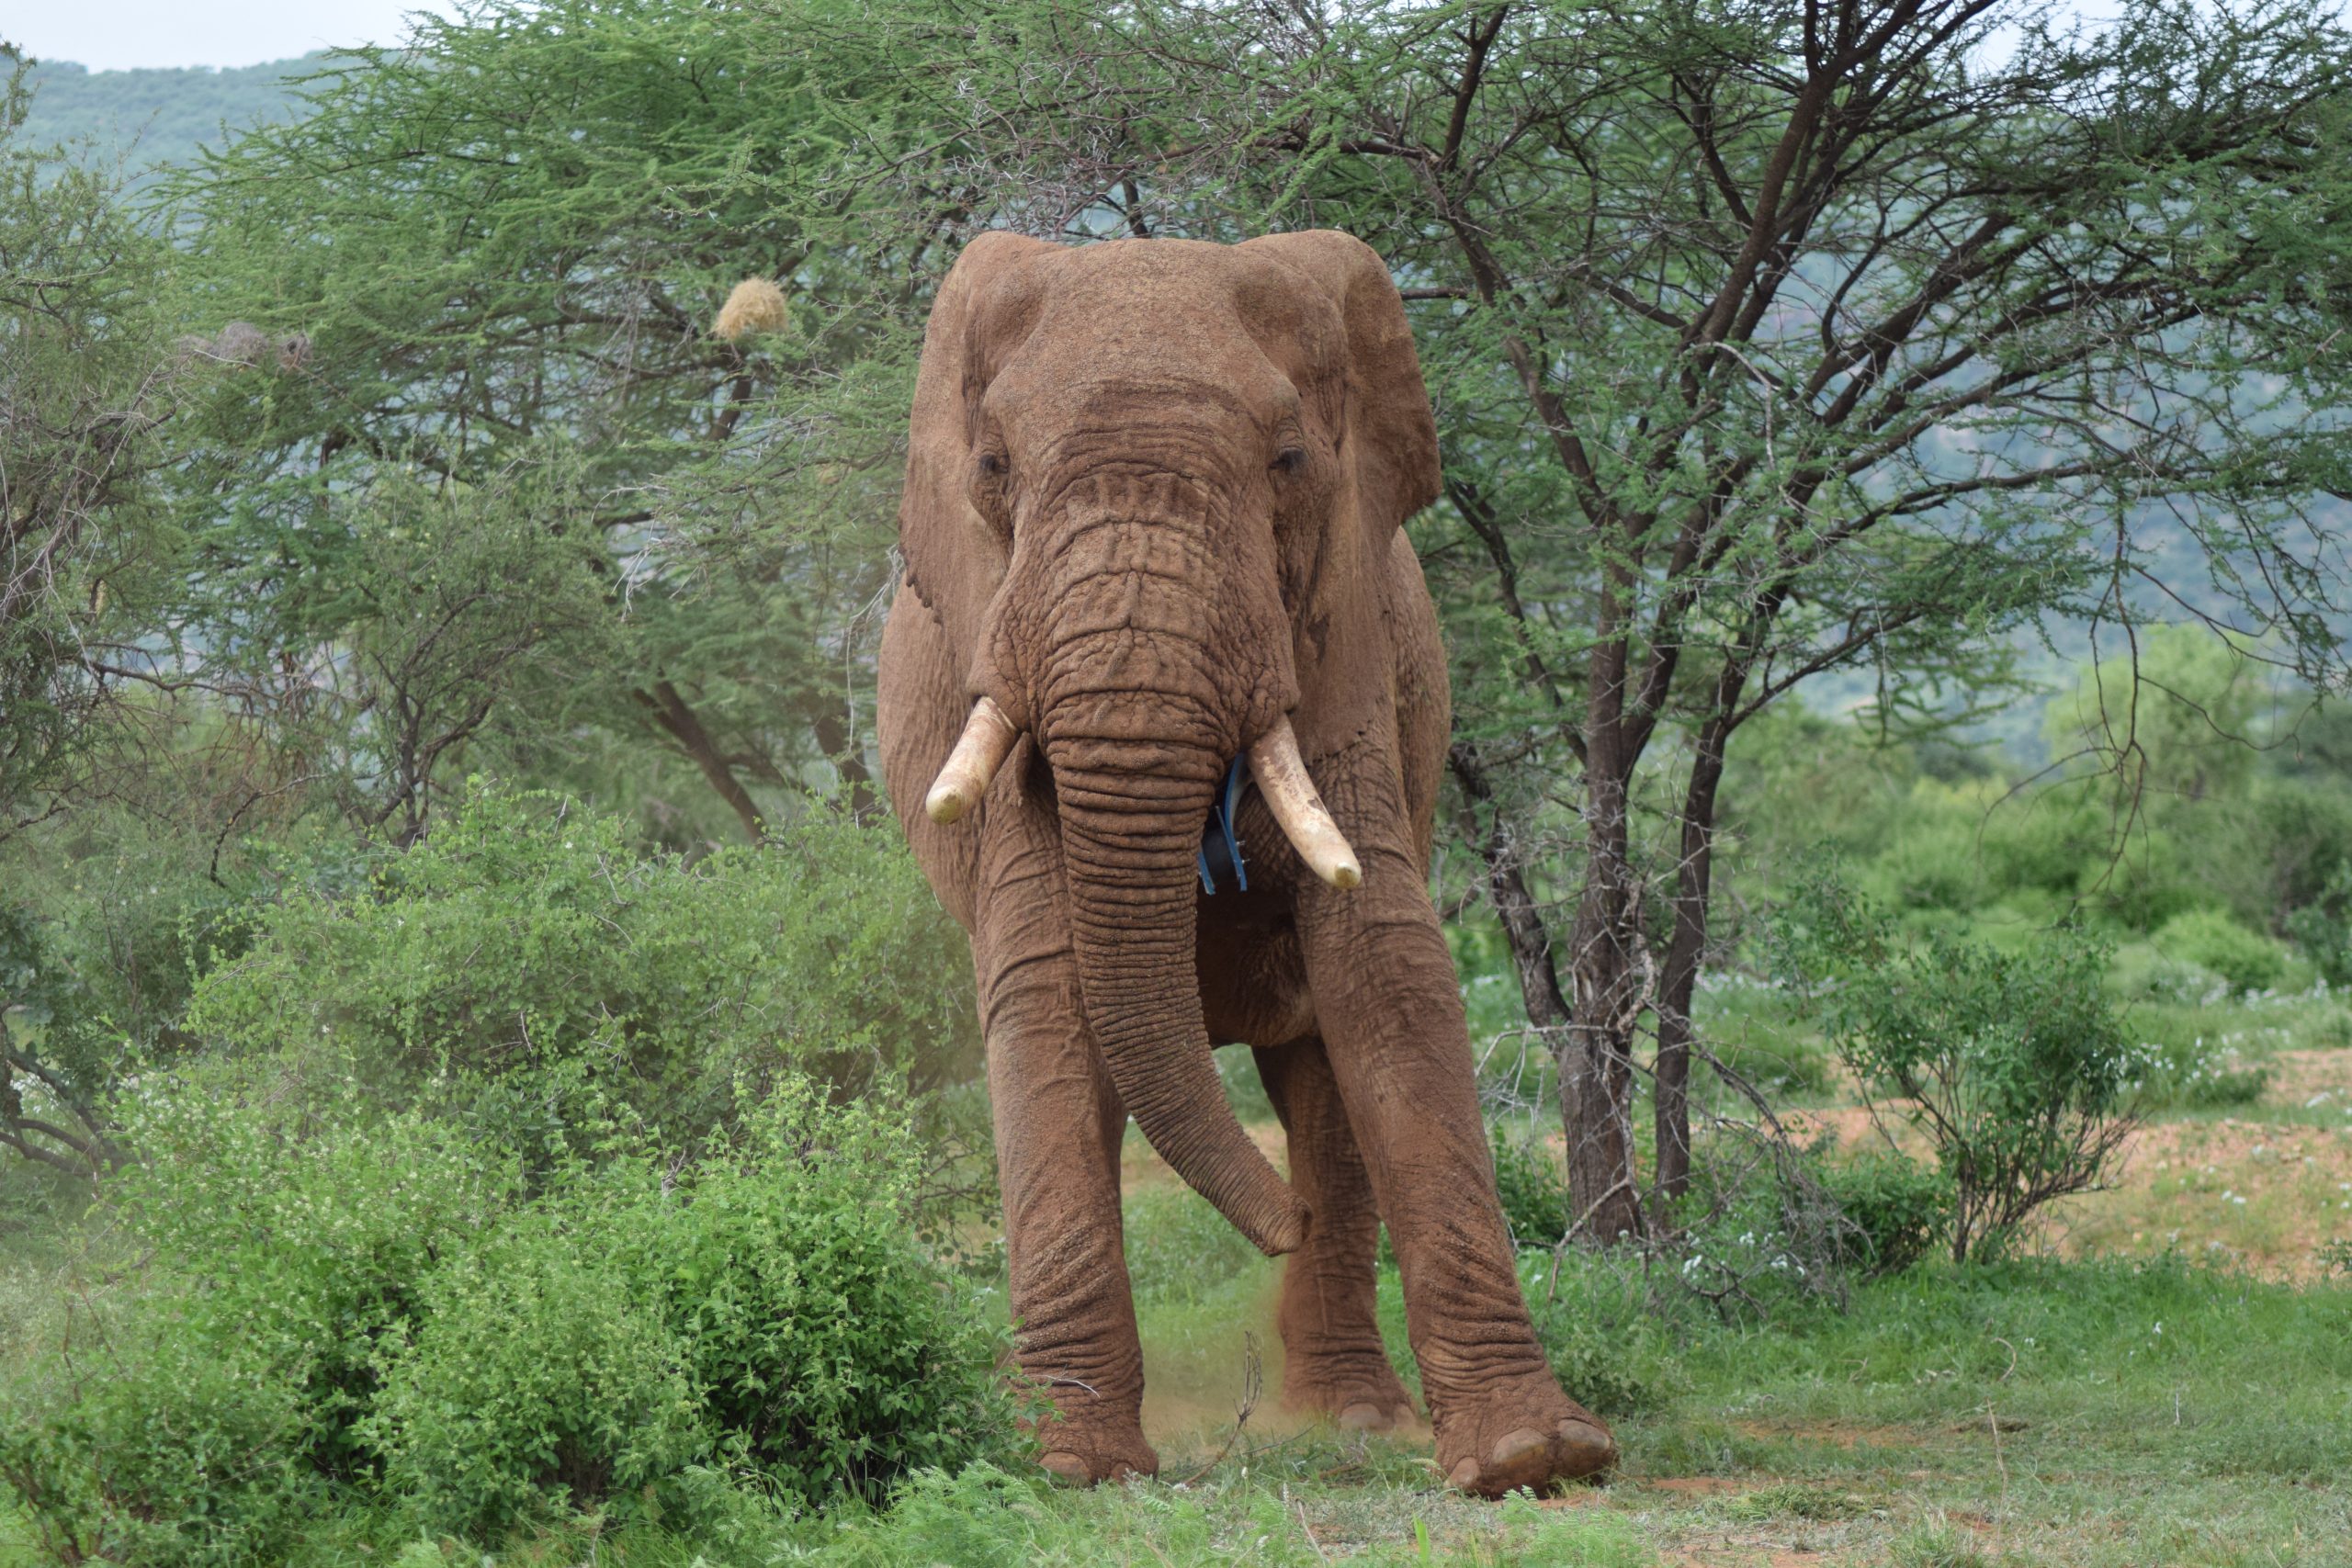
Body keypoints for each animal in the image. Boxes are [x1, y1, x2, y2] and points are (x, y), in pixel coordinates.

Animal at [879, 230, 1618, 1495]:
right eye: (991, 466)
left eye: (1288, 461)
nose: (1279, 1224)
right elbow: (1046, 985)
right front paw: (1067, 1464)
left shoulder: (1345, 634)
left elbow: (1387, 973)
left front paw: (1536, 1456)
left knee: (1318, 1082)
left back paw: (1351, 1417)